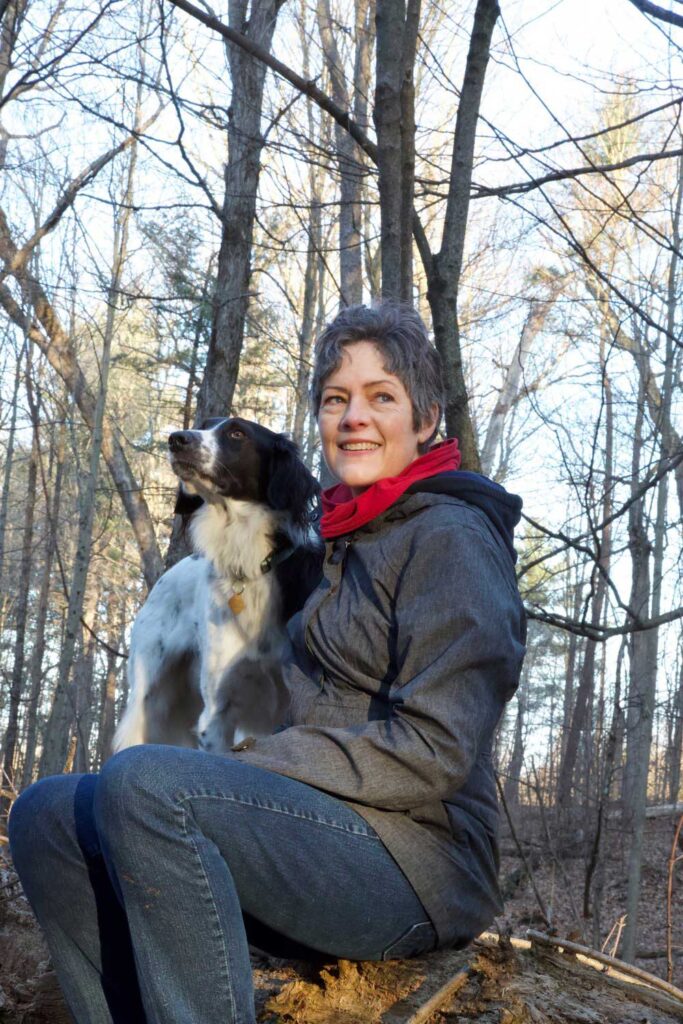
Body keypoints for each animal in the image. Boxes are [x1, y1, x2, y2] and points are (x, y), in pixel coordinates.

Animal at [112, 411, 323, 757]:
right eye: (203, 425)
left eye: (237, 433)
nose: (177, 439)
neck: (248, 560)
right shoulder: (217, 712)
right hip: (149, 698)